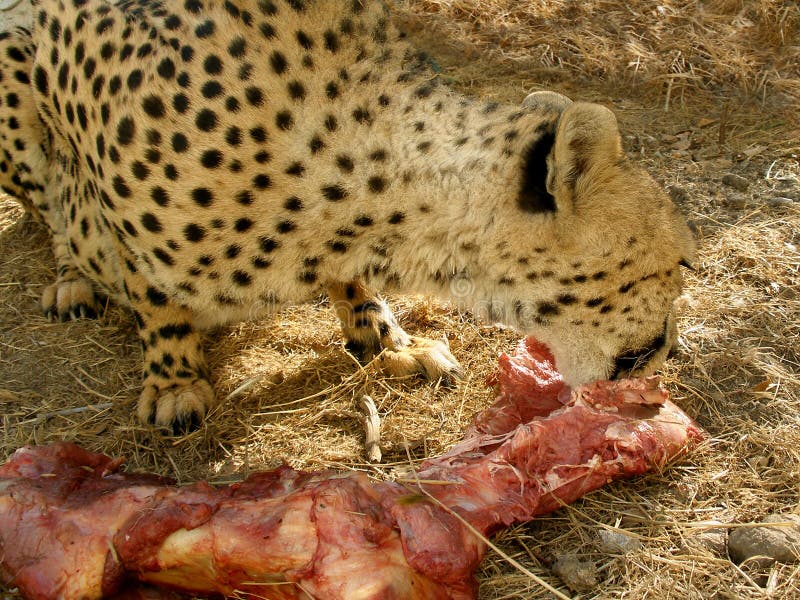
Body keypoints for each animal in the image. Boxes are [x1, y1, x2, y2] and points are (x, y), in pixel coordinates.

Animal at [0, 0, 695, 434]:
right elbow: (150, 286)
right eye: (684, 261)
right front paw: (174, 381)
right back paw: (72, 279)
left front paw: (391, 339)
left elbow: (355, 284)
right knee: (53, 207)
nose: (668, 349)